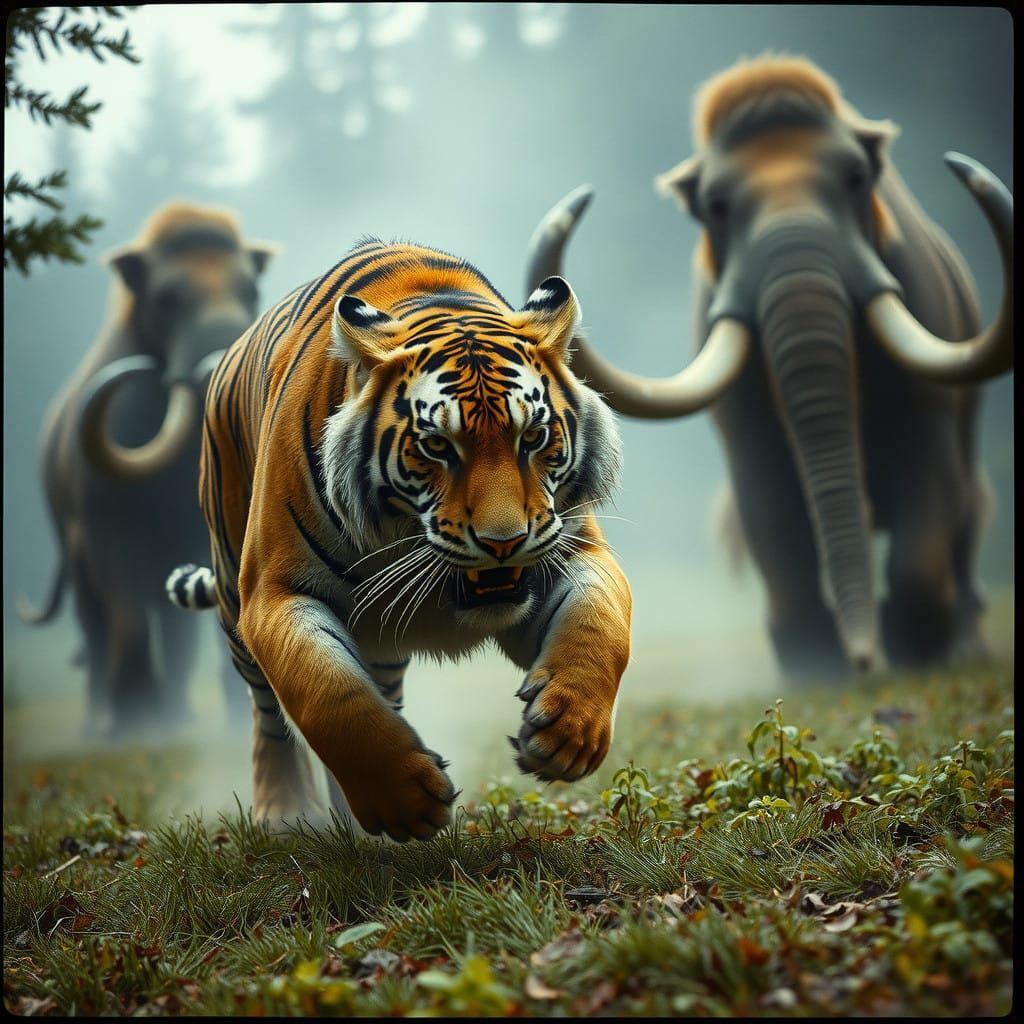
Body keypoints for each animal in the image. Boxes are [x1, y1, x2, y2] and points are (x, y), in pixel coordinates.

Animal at [168, 238, 632, 841]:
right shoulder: (274, 591)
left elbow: (601, 621)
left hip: (381, 641)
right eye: (436, 446)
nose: (504, 542)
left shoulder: (570, 548)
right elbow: (327, 692)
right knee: (269, 714)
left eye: (532, 437)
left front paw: (568, 733)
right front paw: (404, 800)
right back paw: (287, 816)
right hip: (232, 593)